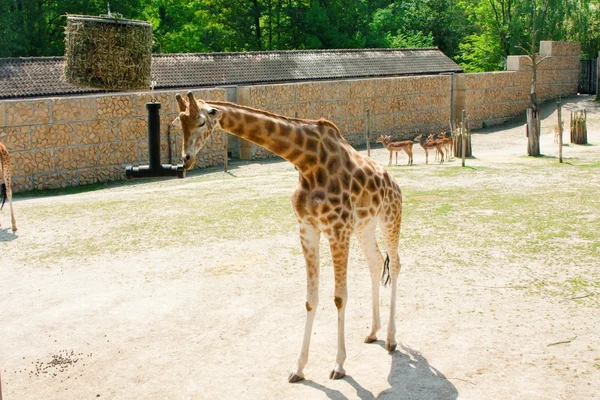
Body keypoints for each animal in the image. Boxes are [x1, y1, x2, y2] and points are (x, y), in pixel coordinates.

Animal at [175, 92, 408, 382]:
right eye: (178, 123)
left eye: (200, 121)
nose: (185, 160)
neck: (307, 162)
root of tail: (394, 182)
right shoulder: (307, 228)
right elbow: (310, 299)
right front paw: (298, 368)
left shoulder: (337, 228)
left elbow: (339, 297)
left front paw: (338, 364)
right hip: (365, 225)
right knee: (376, 263)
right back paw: (373, 332)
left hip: (390, 217)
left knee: (395, 264)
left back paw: (391, 338)